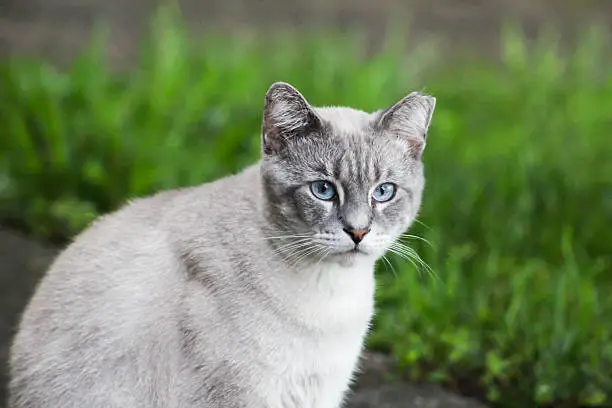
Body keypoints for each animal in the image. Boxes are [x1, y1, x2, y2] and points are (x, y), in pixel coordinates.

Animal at [5, 81, 436, 406]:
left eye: (383, 192)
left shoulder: (317, 392)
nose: (358, 232)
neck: (331, 295)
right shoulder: (239, 395)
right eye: (324, 190)